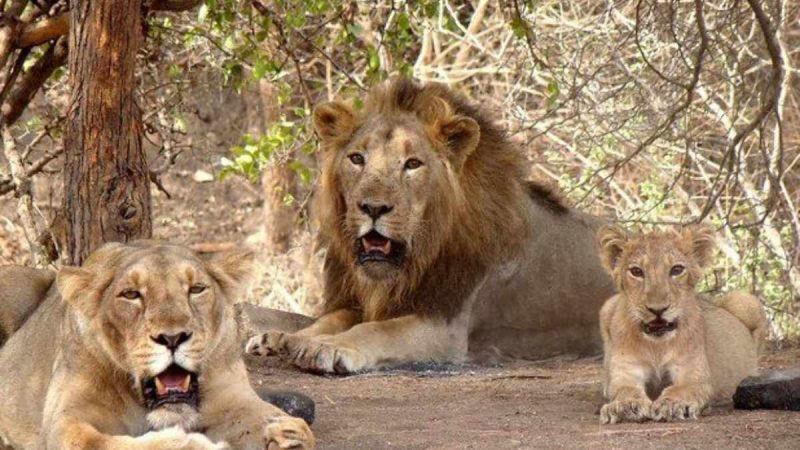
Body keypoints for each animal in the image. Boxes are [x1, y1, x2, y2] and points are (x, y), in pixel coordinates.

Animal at [0, 241, 315, 449]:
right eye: (131, 294)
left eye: (196, 289)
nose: (173, 338)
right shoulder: (66, 421)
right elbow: (101, 443)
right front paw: (189, 443)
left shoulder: (233, 398)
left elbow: (279, 422)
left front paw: (287, 435)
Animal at [245, 77, 616, 374]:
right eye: (356, 158)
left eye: (413, 164)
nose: (373, 207)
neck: (416, 258)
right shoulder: (361, 301)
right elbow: (328, 319)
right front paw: (281, 338)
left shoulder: (445, 326)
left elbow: (378, 330)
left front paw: (327, 347)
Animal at [597, 224, 767, 424]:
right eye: (637, 272)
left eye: (676, 270)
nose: (658, 309)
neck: (657, 346)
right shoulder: (626, 372)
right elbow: (625, 389)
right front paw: (626, 406)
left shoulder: (694, 375)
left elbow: (680, 389)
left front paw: (674, 405)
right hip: (607, 306)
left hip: (746, 300)